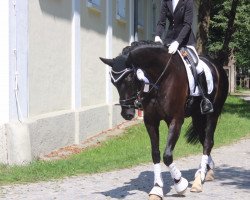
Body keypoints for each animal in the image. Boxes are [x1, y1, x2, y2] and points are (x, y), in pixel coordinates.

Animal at [99, 39, 229, 199]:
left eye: (129, 78)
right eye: (113, 82)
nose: (127, 113)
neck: (160, 78)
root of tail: (217, 65)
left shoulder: (176, 120)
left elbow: (167, 155)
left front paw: (180, 184)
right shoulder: (151, 121)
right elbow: (155, 154)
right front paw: (157, 188)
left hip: (212, 114)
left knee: (208, 142)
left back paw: (199, 180)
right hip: (197, 117)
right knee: (204, 140)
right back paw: (206, 171)